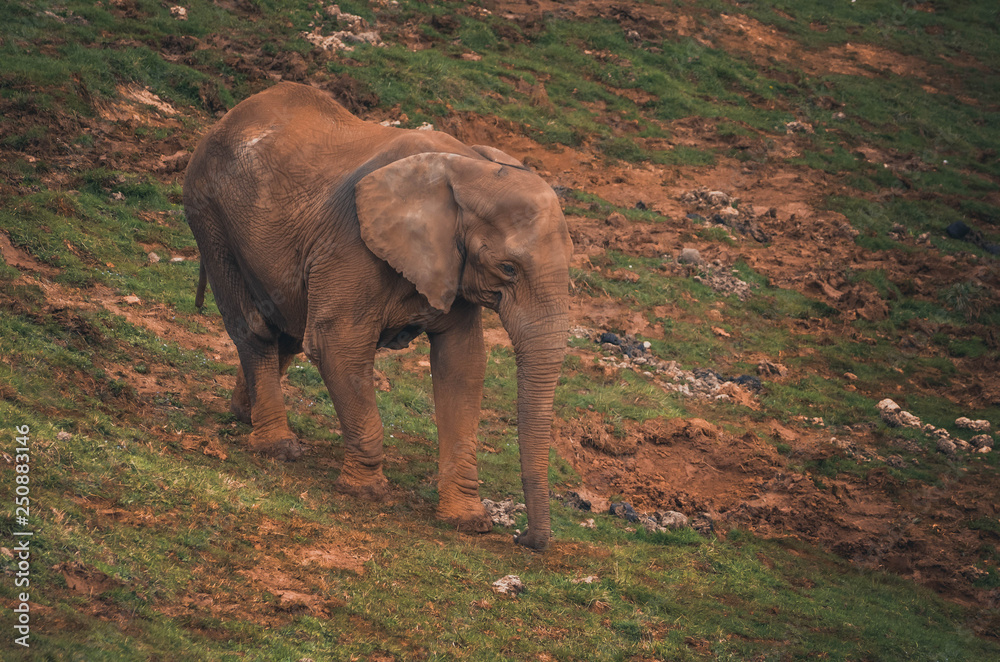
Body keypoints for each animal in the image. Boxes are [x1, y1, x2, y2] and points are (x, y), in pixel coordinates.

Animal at [183, 82, 572, 550]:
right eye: (509, 268)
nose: (522, 539)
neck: (469, 168)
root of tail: (226, 118)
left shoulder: (450, 267)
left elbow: (462, 364)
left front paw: (468, 521)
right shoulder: (352, 243)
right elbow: (337, 342)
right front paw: (366, 492)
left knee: (285, 328)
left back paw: (245, 414)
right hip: (208, 212)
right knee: (255, 327)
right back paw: (277, 447)